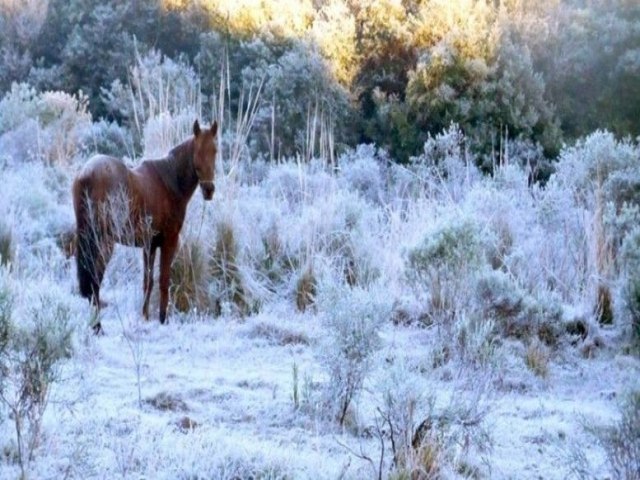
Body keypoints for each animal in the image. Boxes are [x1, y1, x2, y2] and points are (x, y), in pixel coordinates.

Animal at [73, 119, 220, 330]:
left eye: (215, 150)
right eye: (197, 151)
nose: (208, 190)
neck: (170, 182)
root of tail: (87, 174)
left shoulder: (149, 246)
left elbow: (147, 282)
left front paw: (144, 316)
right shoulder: (169, 241)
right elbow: (163, 280)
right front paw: (163, 319)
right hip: (103, 243)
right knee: (95, 280)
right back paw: (98, 327)